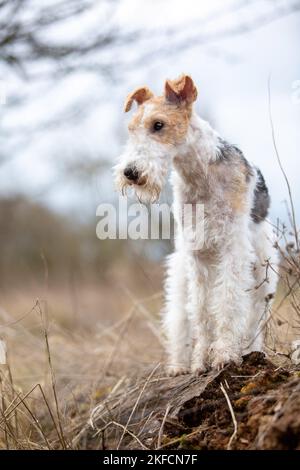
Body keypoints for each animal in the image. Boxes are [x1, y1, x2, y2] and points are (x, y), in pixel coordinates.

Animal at [113, 74, 278, 374]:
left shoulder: (232, 249)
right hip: (180, 274)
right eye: (131, 129)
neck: (200, 174)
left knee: (253, 319)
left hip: (263, 271)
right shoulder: (197, 254)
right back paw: (179, 364)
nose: (130, 172)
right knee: (180, 318)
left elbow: (227, 301)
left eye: (158, 124)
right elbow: (201, 311)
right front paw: (201, 360)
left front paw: (224, 354)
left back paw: (251, 351)